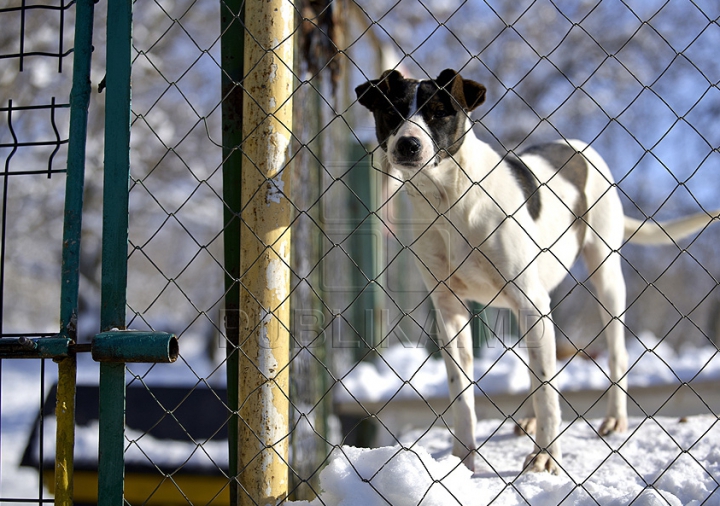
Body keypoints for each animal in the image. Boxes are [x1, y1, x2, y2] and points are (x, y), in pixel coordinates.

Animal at [356, 68, 720, 474]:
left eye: (438, 113)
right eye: (392, 112)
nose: (408, 145)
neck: (450, 200)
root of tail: (575, 145)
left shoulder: (531, 302)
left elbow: (547, 386)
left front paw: (546, 455)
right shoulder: (450, 312)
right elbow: (461, 393)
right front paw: (462, 461)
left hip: (604, 279)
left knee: (613, 353)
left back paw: (615, 418)